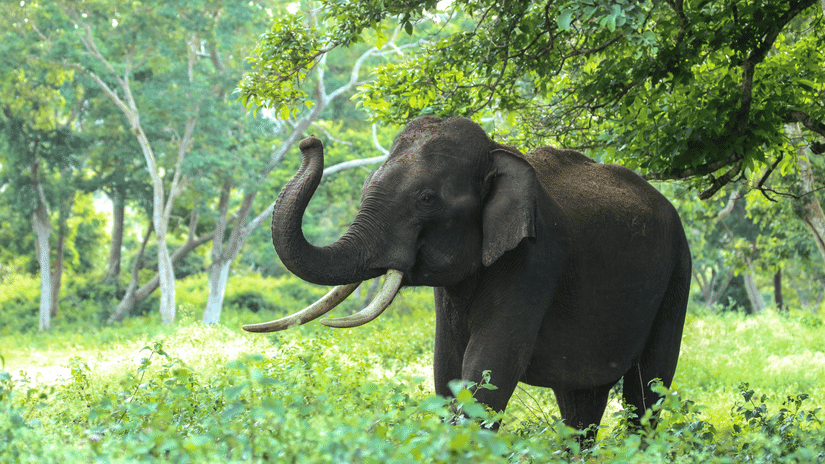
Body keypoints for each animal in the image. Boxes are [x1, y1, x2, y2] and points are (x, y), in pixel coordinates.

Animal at [243, 116, 691, 441]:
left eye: (426, 199)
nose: (308, 142)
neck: (497, 152)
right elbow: (447, 370)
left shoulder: (535, 259)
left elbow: (488, 370)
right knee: (580, 402)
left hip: (678, 274)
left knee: (647, 390)